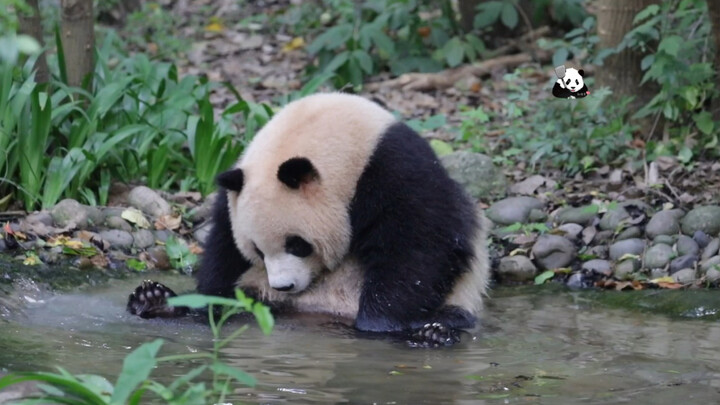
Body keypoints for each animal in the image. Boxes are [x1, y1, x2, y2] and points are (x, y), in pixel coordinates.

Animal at [126, 93, 492, 346]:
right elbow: (223, 254)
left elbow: (420, 246)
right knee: (237, 307)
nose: (283, 286)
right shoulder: (232, 195)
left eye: (298, 245)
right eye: (258, 251)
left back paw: (430, 334)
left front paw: (379, 321)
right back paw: (155, 301)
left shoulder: (396, 172)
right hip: (260, 296)